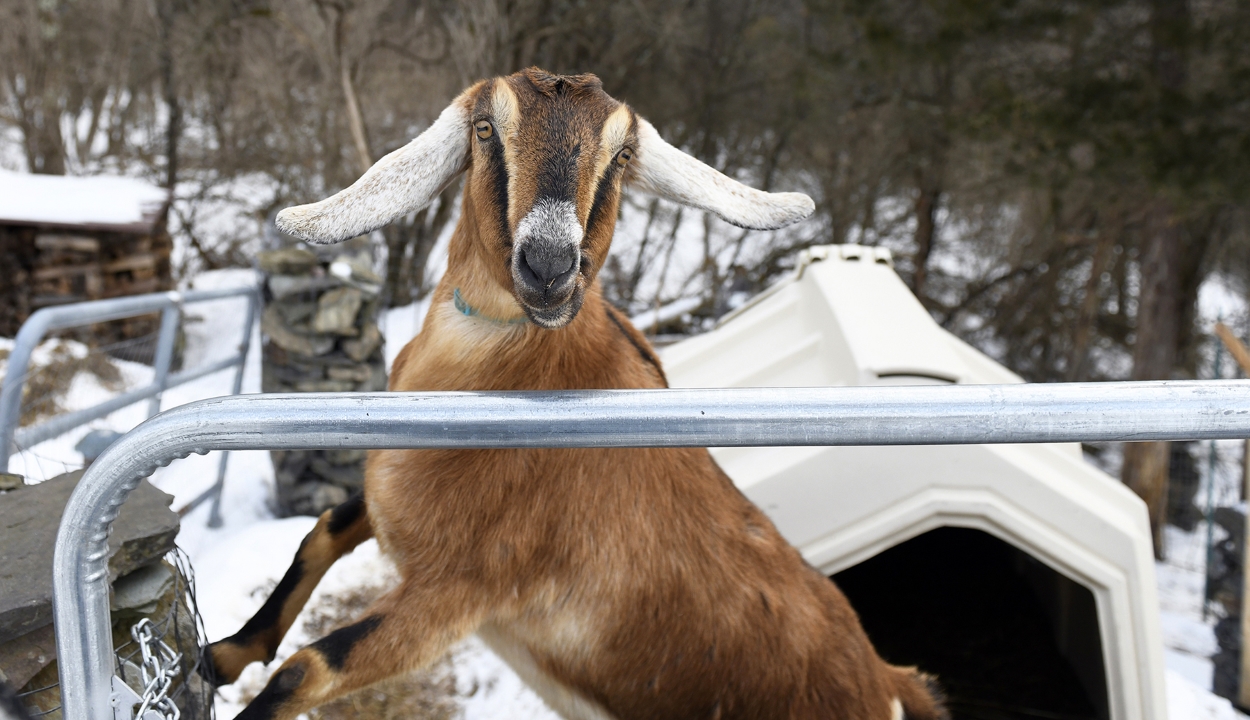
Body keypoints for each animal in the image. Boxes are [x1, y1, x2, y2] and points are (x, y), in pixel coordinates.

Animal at [207, 68, 945, 720]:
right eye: (485, 128)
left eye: (621, 153)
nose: (549, 267)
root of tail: (889, 682)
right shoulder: (390, 508)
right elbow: (323, 532)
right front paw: (222, 655)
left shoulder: (456, 593)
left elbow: (306, 670)